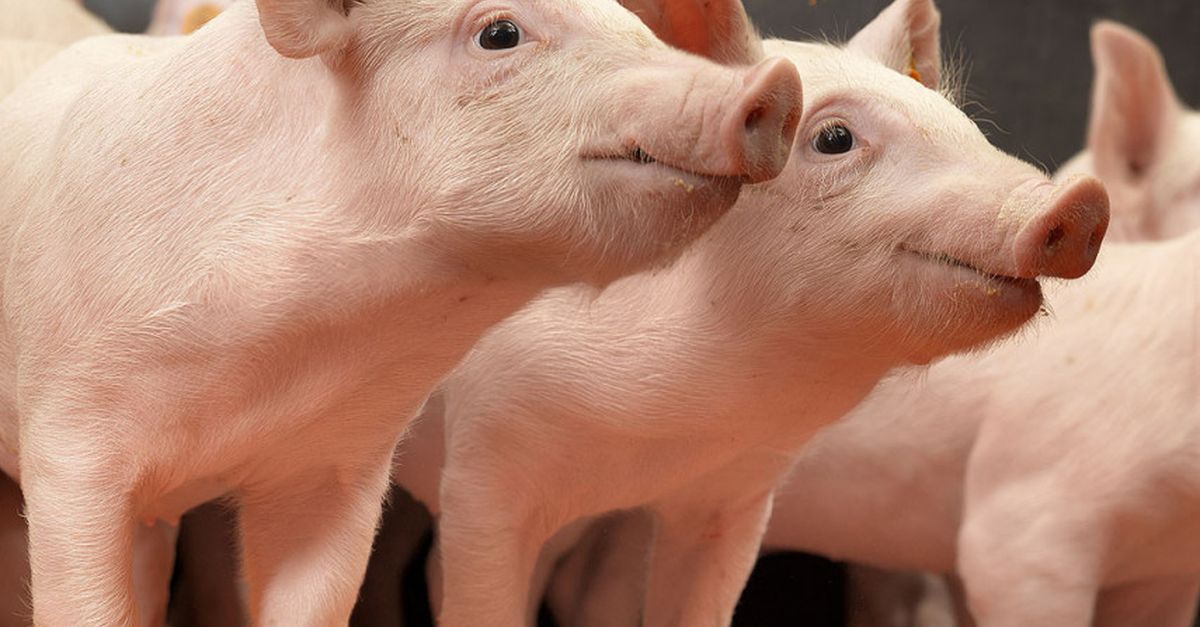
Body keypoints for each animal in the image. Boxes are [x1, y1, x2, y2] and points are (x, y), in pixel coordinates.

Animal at [383, 0, 1110, 625]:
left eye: (957, 118)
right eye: (834, 138)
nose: (1083, 200)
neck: (658, 436)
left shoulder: (730, 500)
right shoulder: (482, 470)